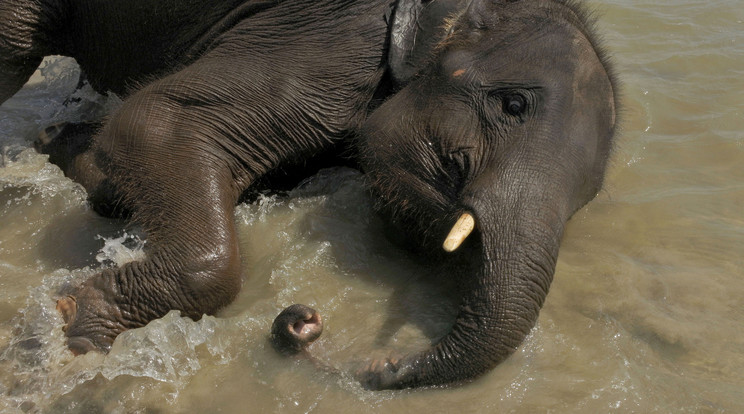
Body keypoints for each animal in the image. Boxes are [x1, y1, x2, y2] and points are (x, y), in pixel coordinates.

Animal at [0, 0, 616, 390]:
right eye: (513, 104)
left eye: (591, 193)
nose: (303, 320)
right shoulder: (334, 42)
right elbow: (154, 123)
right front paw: (73, 330)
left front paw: (69, 152)